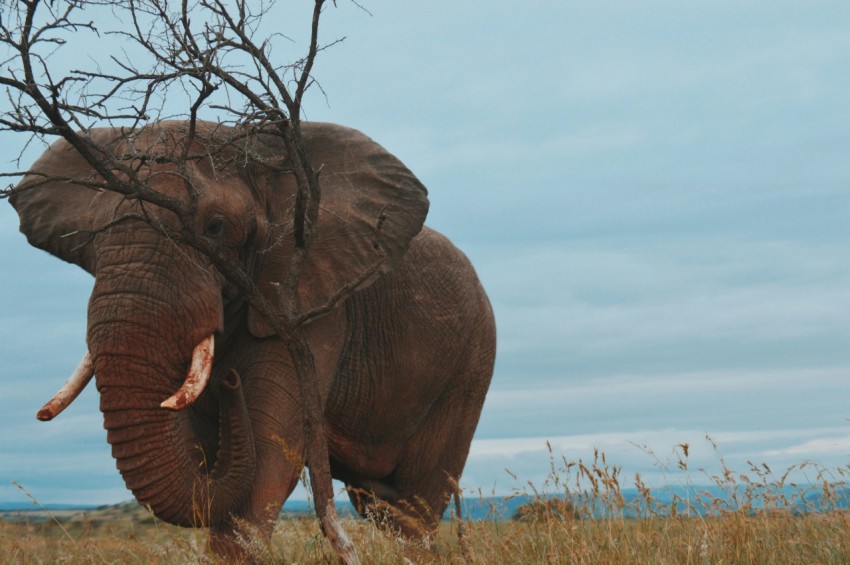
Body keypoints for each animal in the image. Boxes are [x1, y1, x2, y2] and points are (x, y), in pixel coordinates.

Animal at [9, 120, 496, 554]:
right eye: (92, 238)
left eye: (215, 227)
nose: (230, 383)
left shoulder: (309, 306)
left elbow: (270, 444)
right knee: (379, 503)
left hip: (470, 365)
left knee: (413, 508)